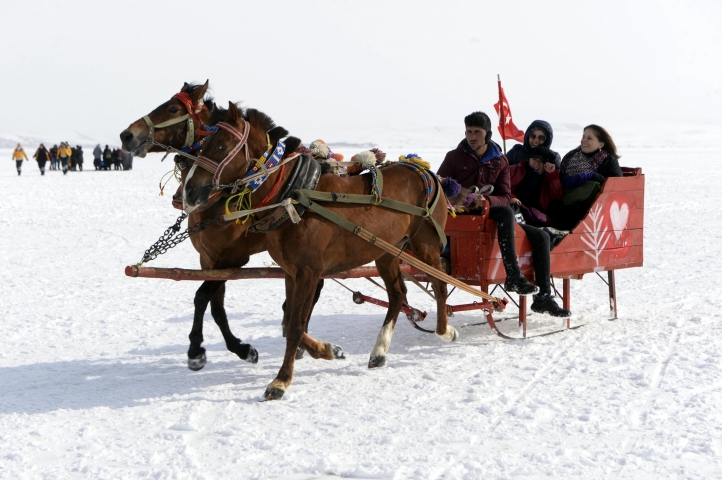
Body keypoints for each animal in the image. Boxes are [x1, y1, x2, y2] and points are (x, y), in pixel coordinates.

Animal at [183, 102, 452, 402]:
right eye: (202, 144)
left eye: (220, 146)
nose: (189, 192)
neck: (294, 196)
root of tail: (424, 171)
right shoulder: (290, 272)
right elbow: (290, 322)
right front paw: (327, 350)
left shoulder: (308, 272)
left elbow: (294, 326)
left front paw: (280, 381)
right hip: (386, 253)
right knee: (397, 295)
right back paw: (379, 351)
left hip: (425, 246)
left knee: (440, 285)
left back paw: (444, 331)